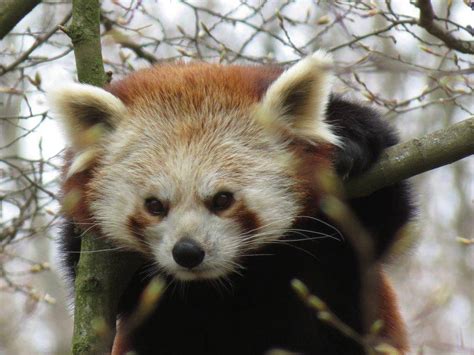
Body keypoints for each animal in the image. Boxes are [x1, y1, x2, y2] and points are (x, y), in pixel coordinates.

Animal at [51, 52, 412, 355]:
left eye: (223, 199)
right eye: (154, 205)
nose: (187, 252)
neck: (227, 286)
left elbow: (382, 223)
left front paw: (351, 142)